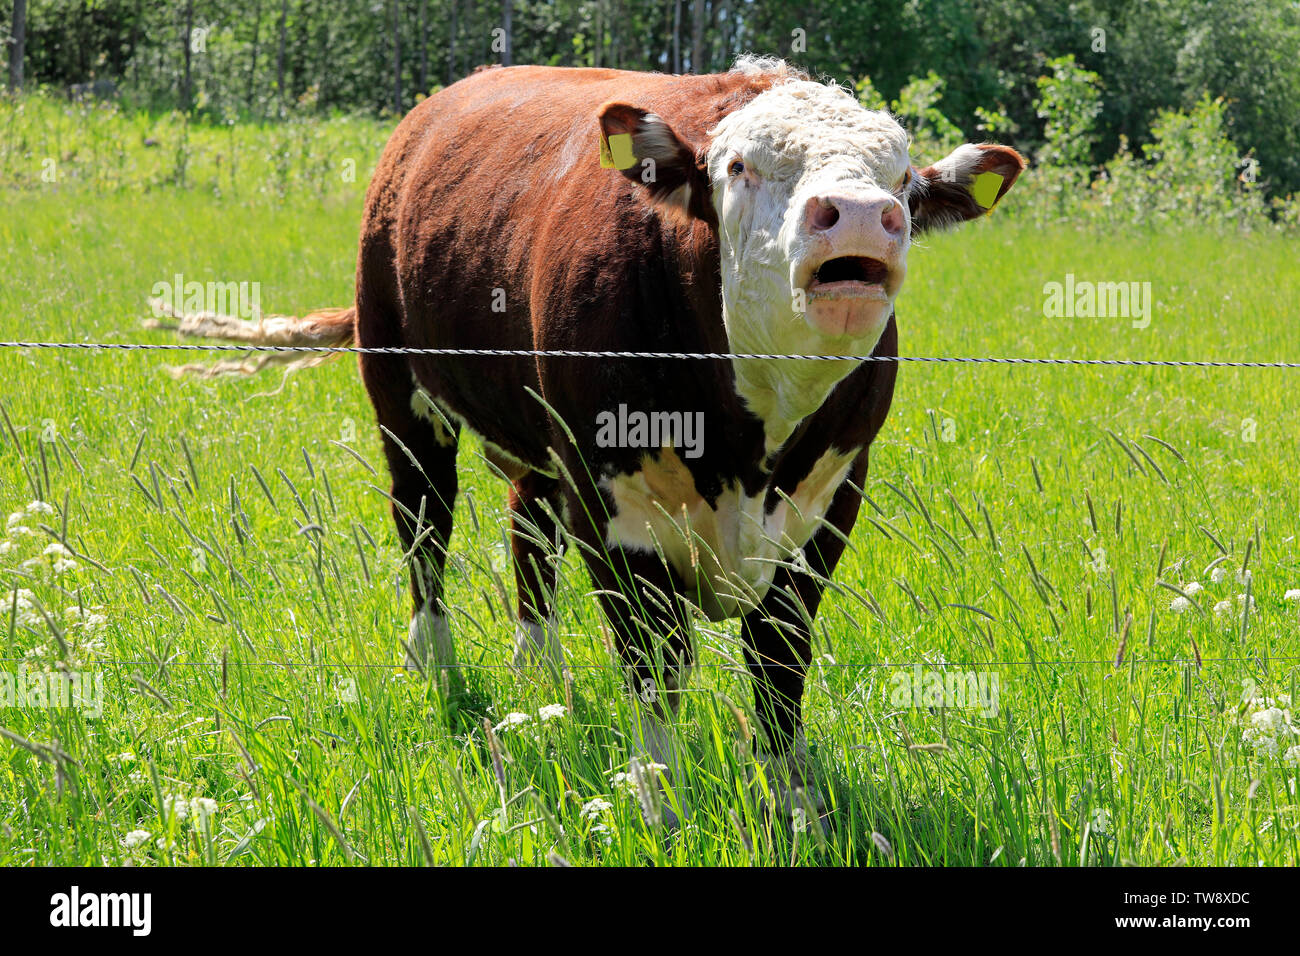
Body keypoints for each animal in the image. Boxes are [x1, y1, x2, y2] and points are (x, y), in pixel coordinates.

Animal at [162, 54, 1019, 816]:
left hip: (532, 445)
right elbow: (655, 664)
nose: (863, 215)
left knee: (525, 529)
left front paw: (791, 803)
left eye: (902, 179)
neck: (752, 436)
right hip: (402, 392)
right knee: (425, 526)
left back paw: (539, 678)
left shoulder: (829, 507)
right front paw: (656, 799)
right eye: (739, 165)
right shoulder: (612, 510)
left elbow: (780, 665)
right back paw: (434, 667)